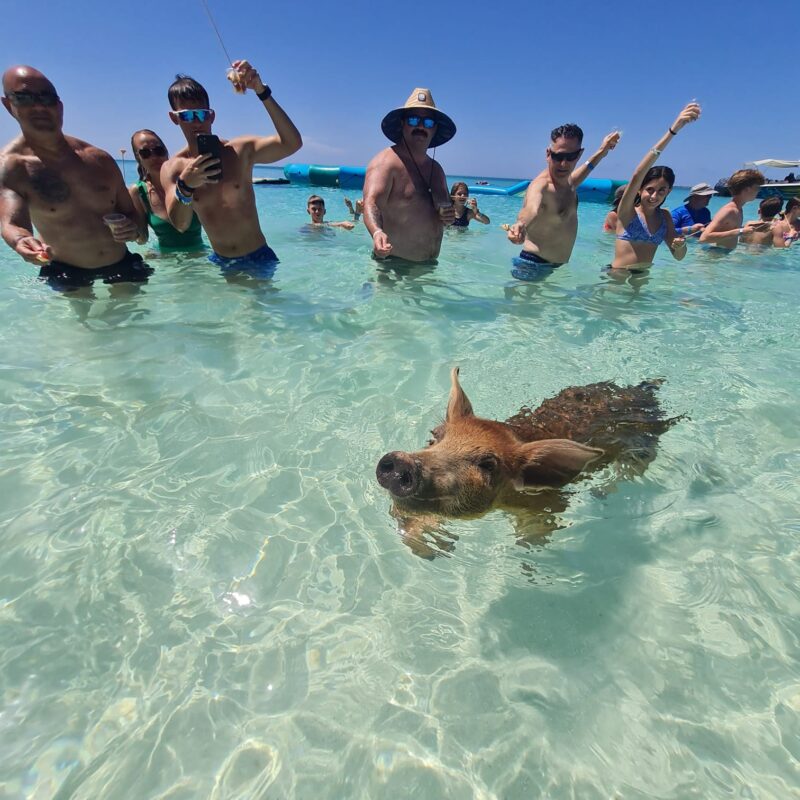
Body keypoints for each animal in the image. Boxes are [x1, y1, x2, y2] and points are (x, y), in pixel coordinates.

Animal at [376, 368, 678, 556]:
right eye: (434, 436)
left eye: (488, 465)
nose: (401, 462)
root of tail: (643, 389)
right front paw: (437, 548)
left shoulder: (550, 503)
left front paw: (525, 553)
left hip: (647, 443)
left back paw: (600, 493)